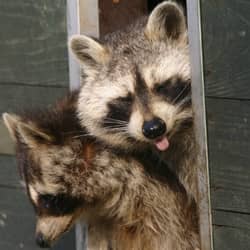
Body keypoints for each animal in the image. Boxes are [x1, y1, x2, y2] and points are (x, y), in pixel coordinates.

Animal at [2, 92, 200, 250]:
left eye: (49, 199)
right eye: (33, 199)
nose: (40, 240)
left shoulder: (161, 196)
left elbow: (175, 237)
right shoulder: (104, 215)